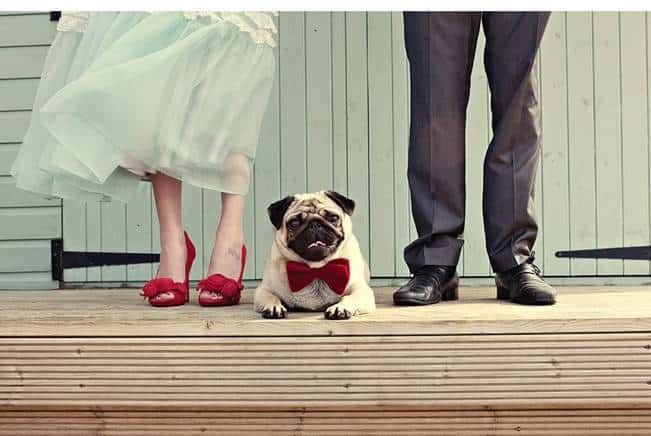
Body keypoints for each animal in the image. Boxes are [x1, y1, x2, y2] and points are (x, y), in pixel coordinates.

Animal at [255, 191, 376, 320]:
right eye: (294, 223)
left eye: (333, 218)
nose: (314, 224)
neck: (316, 268)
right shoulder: (263, 290)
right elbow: (271, 297)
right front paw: (274, 307)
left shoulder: (362, 291)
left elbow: (349, 297)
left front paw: (340, 308)